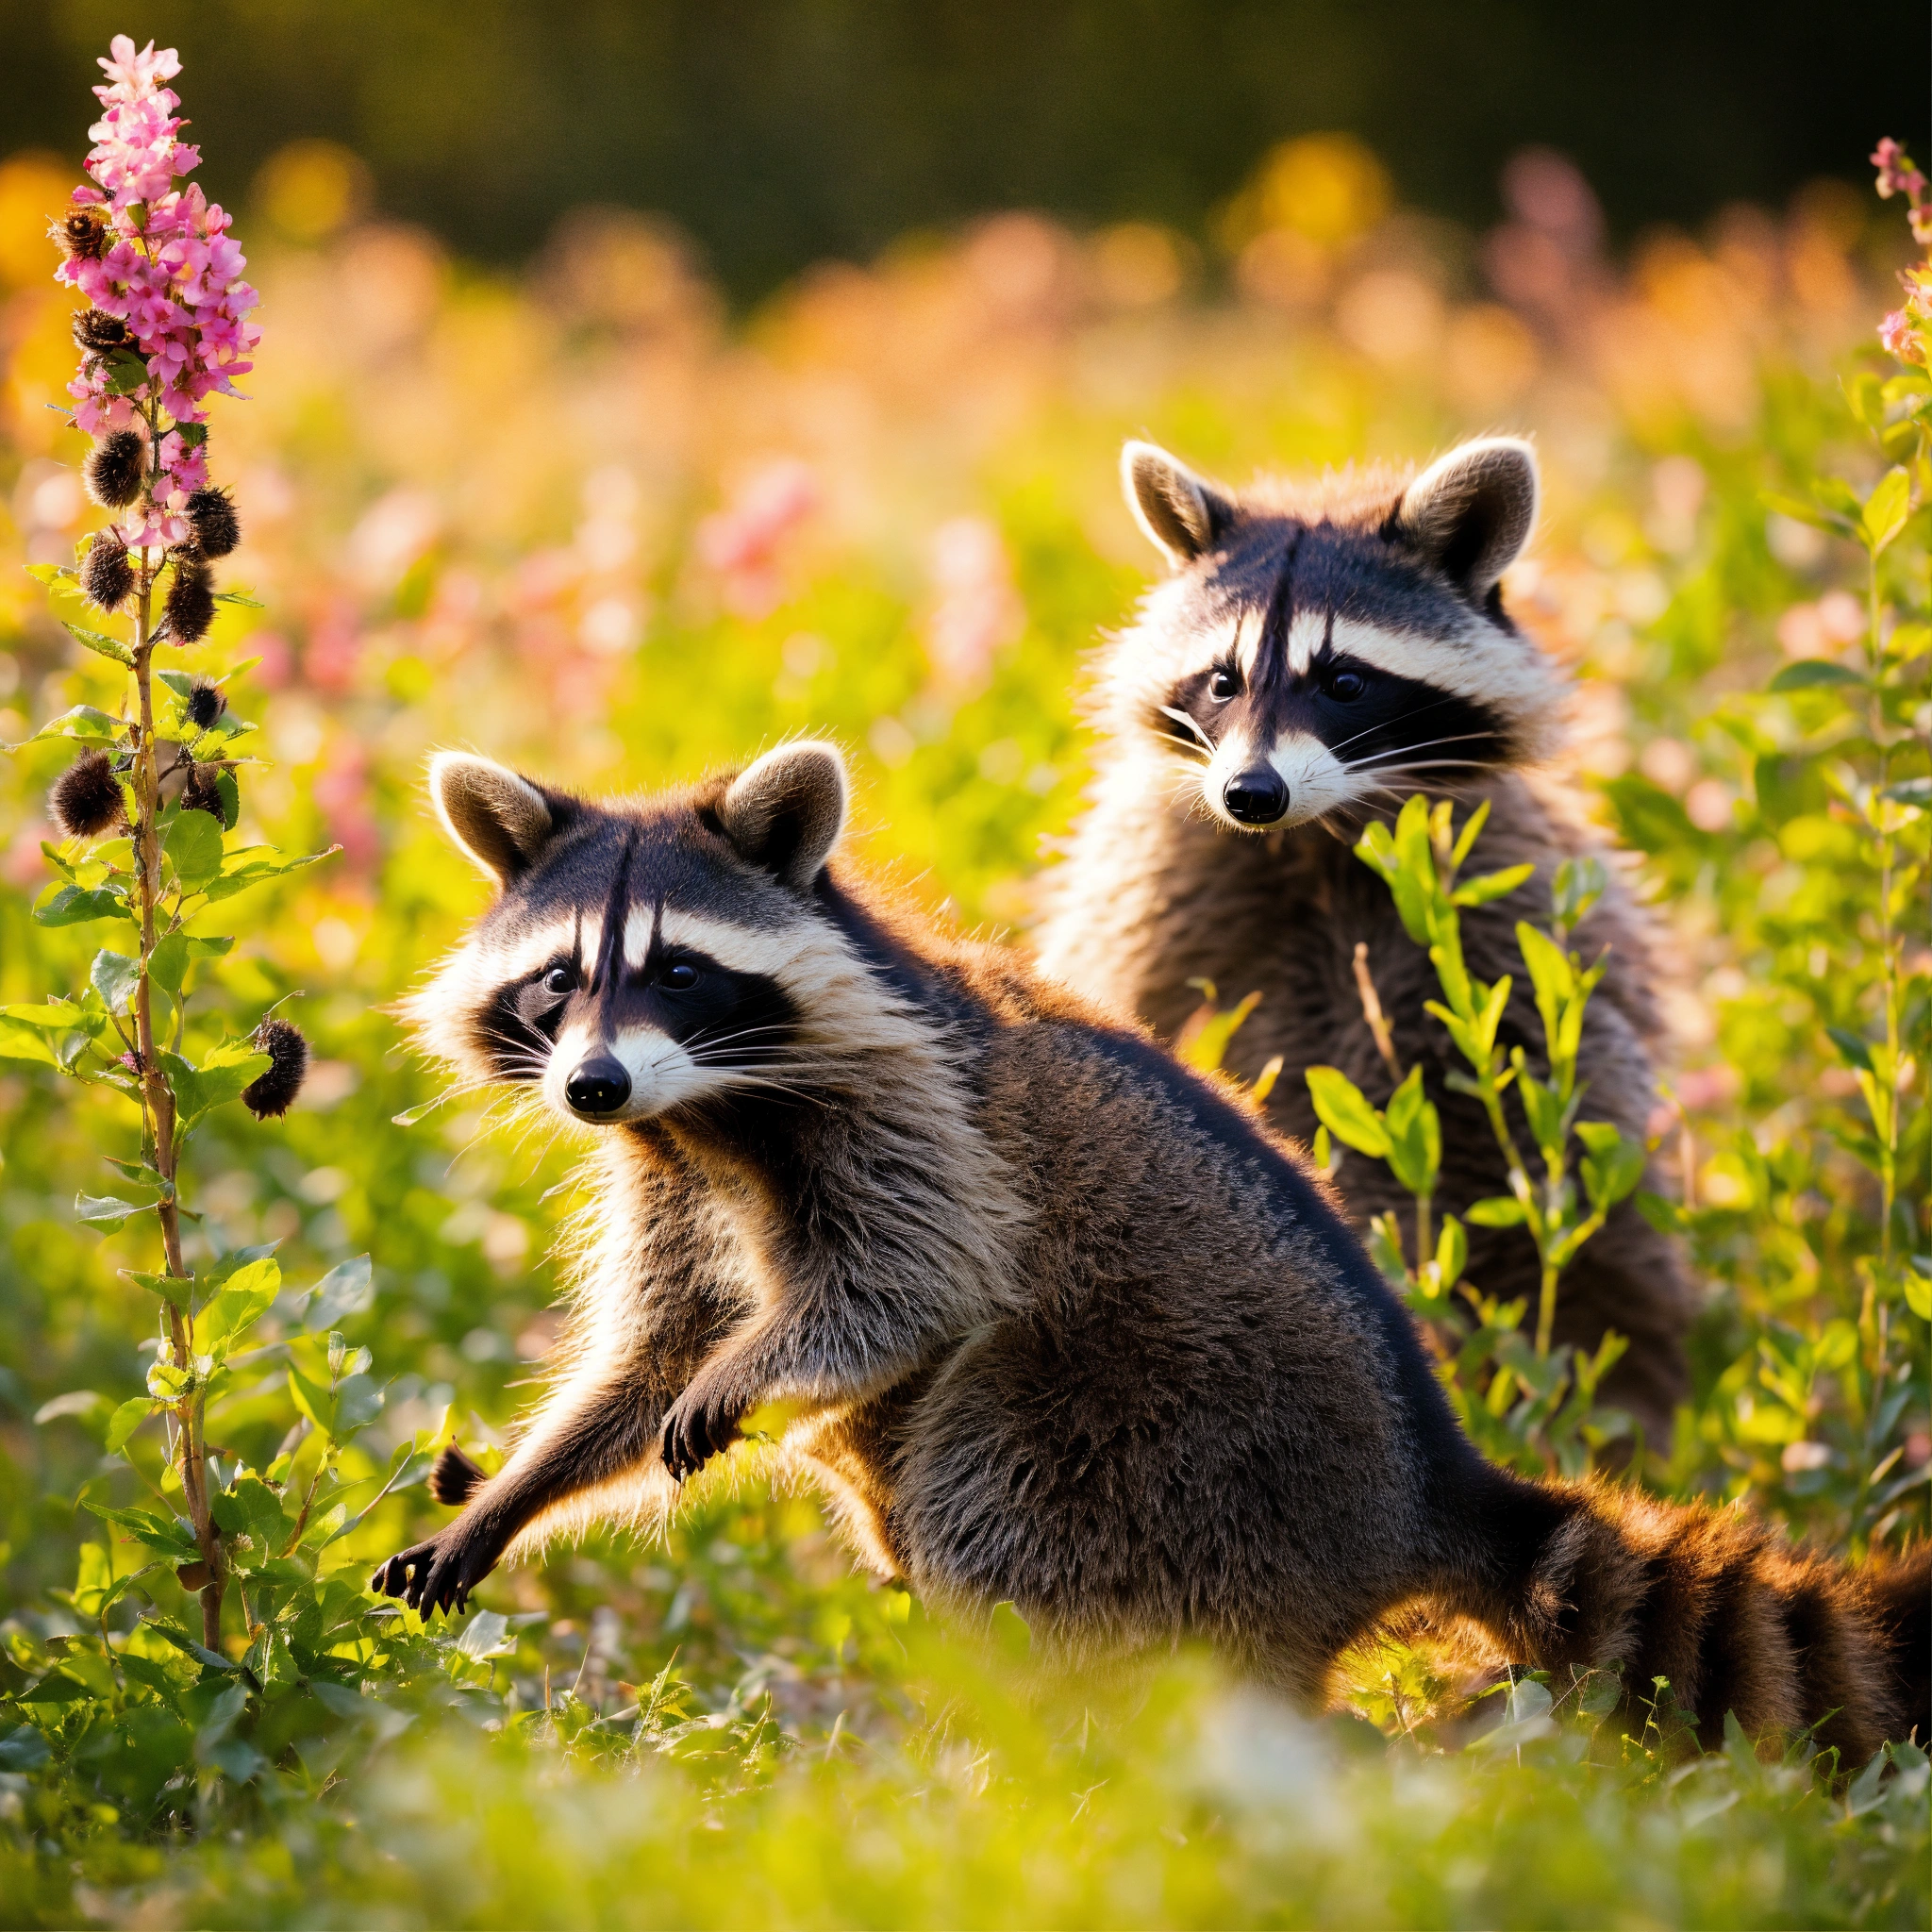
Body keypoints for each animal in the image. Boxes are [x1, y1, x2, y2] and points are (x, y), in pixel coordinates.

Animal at [373, 743, 1927, 1759]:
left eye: (679, 968)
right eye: (560, 978)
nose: (591, 1085)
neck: (706, 1103)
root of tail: (1429, 1485)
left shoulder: (911, 1113)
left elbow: (910, 1286)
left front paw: (753, 1372)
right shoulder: (673, 1168)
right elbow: (651, 1346)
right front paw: (516, 1488)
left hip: (1182, 1446)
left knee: (998, 1466)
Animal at [1034, 438, 1691, 1443]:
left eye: (1345, 681)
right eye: (1222, 680)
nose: (1251, 795)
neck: (1320, 832)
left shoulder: (1500, 913)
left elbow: (1529, 1118)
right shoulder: (1153, 893)